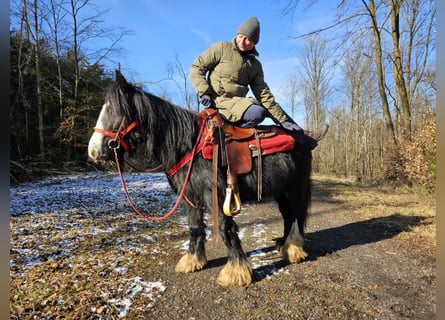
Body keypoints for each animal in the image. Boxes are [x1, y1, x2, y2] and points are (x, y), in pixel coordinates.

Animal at [87, 71, 312, 286]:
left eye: (113, 110)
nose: (93, 151)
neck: (189, 146)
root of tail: (305, 138)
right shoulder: (190, 197)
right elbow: (195, 227)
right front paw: (192, 261)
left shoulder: (216, 196)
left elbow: (225, 228)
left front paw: (236, 272)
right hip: (280, 190)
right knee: (287, 214)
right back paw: (284, 245)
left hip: (296, 187)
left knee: (295, 215)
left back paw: (293, 250)